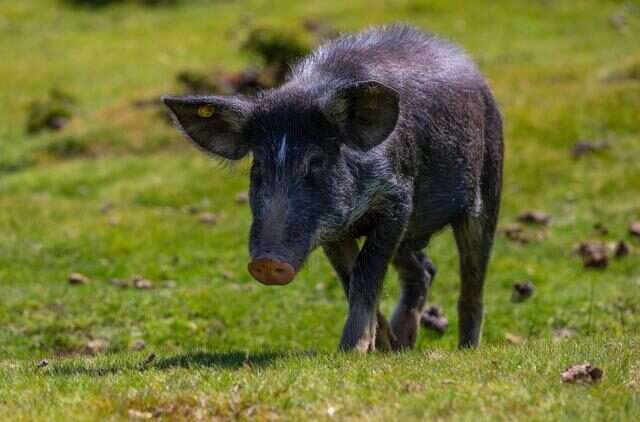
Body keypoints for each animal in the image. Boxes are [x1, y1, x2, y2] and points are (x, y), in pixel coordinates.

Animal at [162, 25, 503, 352]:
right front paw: (378, 346)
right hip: (411, 236)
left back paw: (466, 348)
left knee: (472, 281)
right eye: (257, 165)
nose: (267, 262)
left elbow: (366, 272)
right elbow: (348, 278)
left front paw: (352, 350)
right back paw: (401, 346)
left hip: (489, 183)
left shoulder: (398, 200)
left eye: (316, 162)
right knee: (424, 271)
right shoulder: (333, 230)